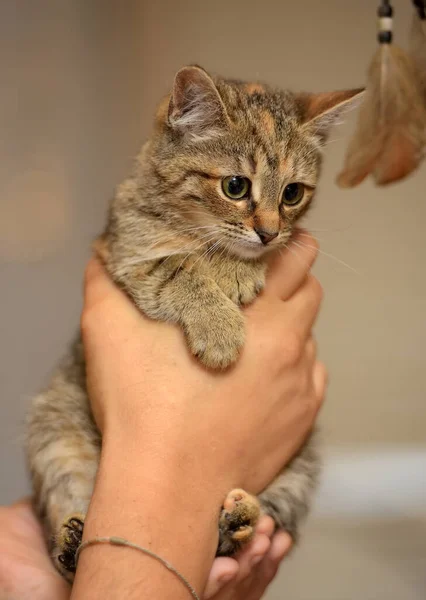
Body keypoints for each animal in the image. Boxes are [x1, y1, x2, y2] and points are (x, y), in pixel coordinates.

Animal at [25, 67, 362, 580]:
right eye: (236, 187)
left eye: (292, 193)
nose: (269, 232)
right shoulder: (125, 255)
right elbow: (177, 267)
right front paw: (220, 323)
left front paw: (237, 268)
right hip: (55, 433)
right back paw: (70, 540)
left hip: (300, 466)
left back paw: (239, 522)